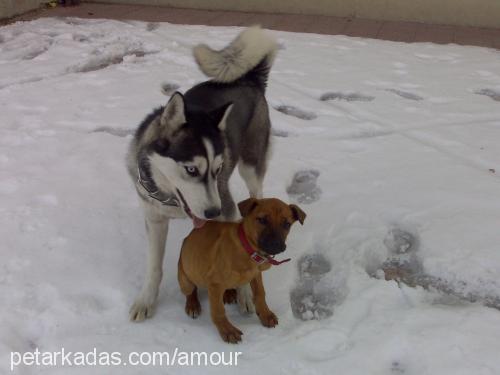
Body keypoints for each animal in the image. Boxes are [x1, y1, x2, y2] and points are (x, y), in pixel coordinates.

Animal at [178, 198, 306, 346]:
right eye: (262, 220)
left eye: (286, 224)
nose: (275, 245)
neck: (248, 250)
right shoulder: (214, 284)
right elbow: (218, 311)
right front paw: (227, 330)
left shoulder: (256, 275)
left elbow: (260, 294)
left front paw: (265, 314)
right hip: (186, 279)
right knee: (191, 292)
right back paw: (193, 305)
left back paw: (229, 293)